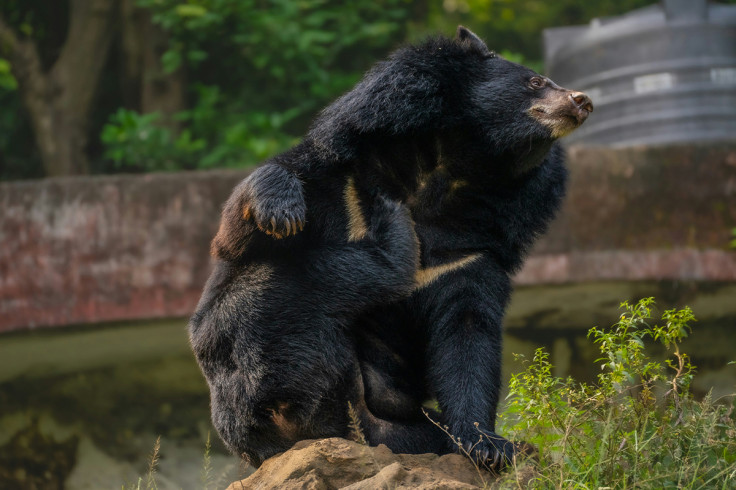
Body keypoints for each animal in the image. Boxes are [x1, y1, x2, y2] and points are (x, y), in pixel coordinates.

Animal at [199, 26, 592, 470]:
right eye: (535, 81)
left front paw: (490, 446)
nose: (583, 101)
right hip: (244, 379)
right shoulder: (343, 176)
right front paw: (281, 214)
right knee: (277, 293)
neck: (446, 169)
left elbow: (467, 337)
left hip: (401, 433)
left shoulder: (471, 253)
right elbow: (238, 234)